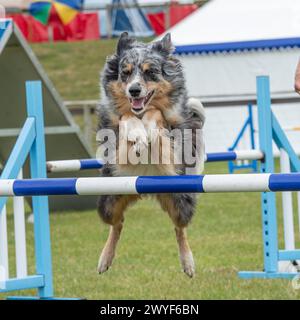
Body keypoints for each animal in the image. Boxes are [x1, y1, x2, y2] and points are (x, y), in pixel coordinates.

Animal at [97, 33, 205, 278]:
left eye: (150, 72)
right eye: (125, 72)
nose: (134, 91)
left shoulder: (171, 148)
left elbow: (155, 114)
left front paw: (146, 130)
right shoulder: (117, 143)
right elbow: (126, 116)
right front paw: (137, 134)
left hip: (180, 201)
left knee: (179, 227)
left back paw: (188, 263)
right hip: (109, 200)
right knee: (117, 223)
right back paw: (104, 259)